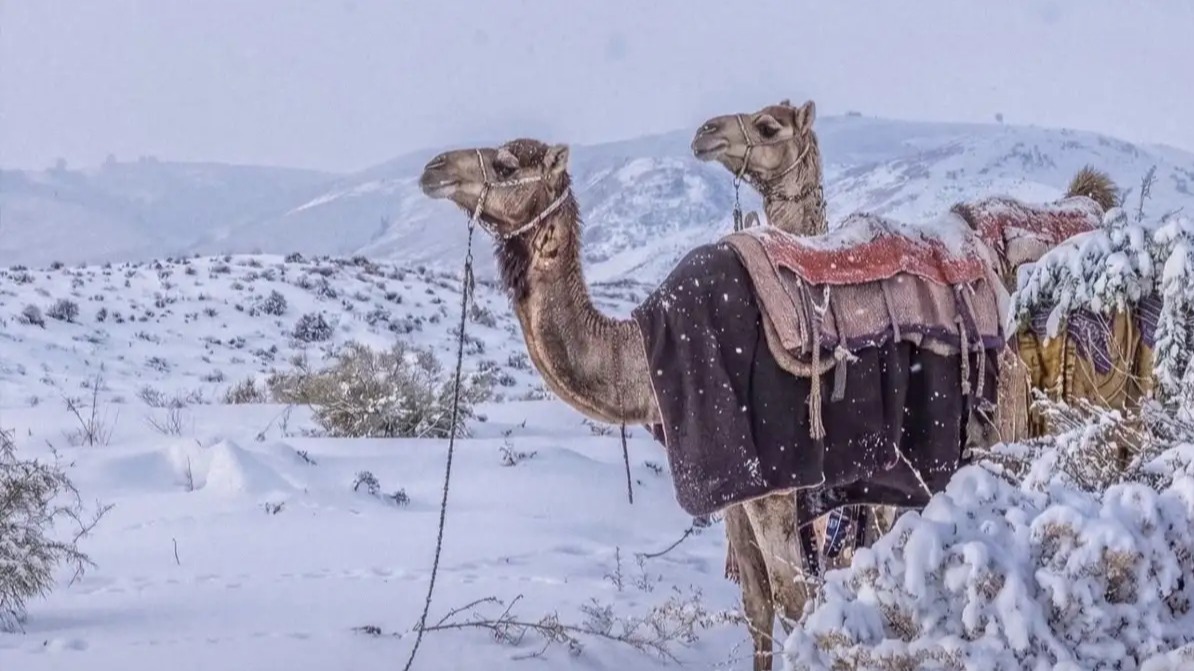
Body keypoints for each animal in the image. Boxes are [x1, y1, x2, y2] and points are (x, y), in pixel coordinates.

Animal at [420, 139, 1007, 670]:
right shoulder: (733, 492)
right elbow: (758, 606)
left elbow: (796, 602)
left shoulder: (775, 484)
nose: (432, 168)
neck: (643, 355)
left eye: (505, 164)